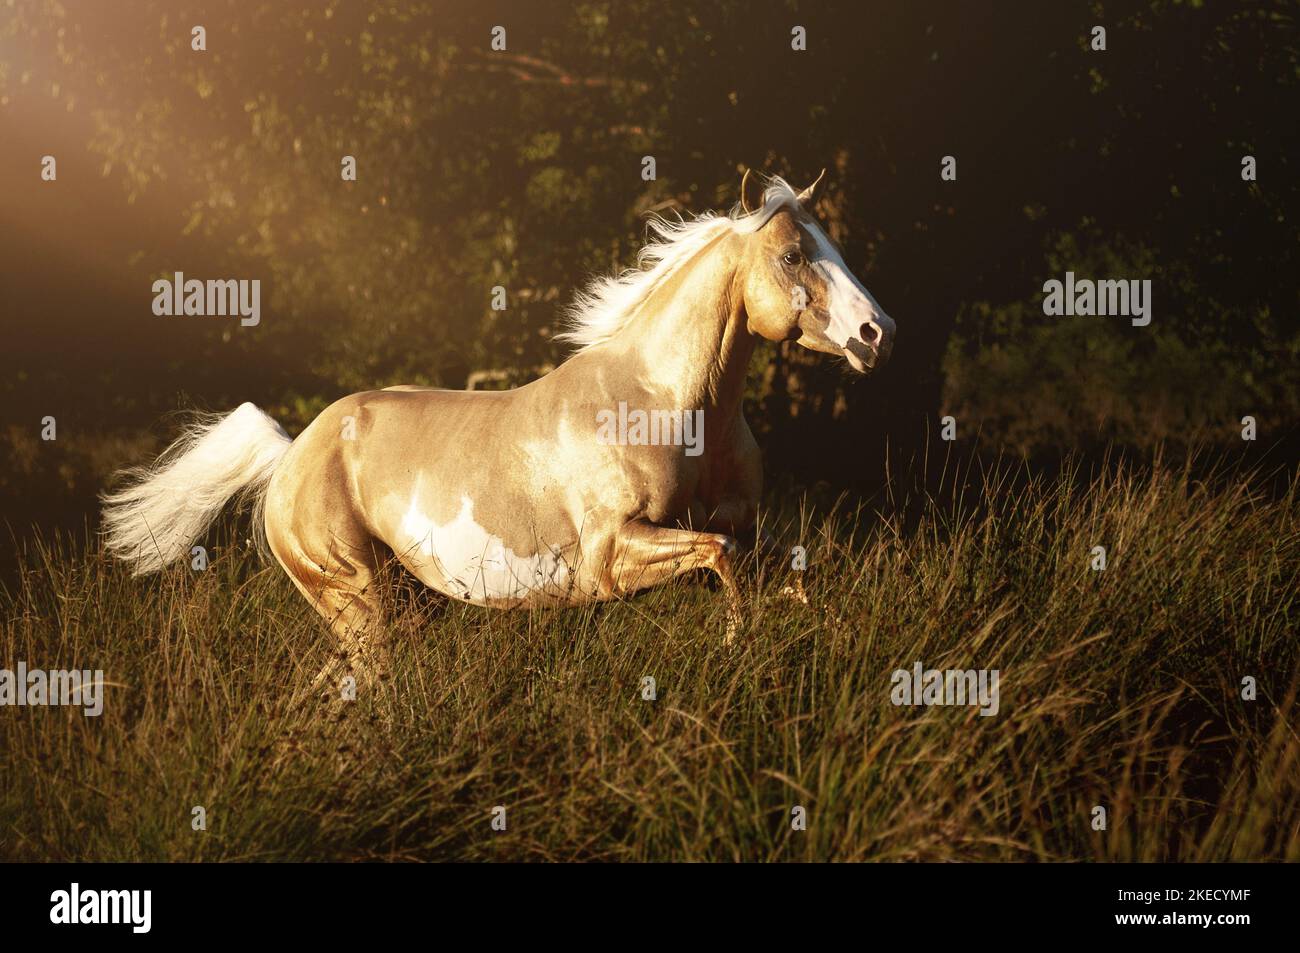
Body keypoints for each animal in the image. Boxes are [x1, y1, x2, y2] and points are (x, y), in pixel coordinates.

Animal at [102, 171, 896, 691]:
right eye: (793, 254)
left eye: (834, 243)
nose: (876, 332)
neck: (670, 404)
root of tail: (292, 451)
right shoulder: (614, 556)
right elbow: (722, 561)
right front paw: (736, 650)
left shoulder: (744, 527)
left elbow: (780, 571)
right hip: (358, 604)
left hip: (399, 607)